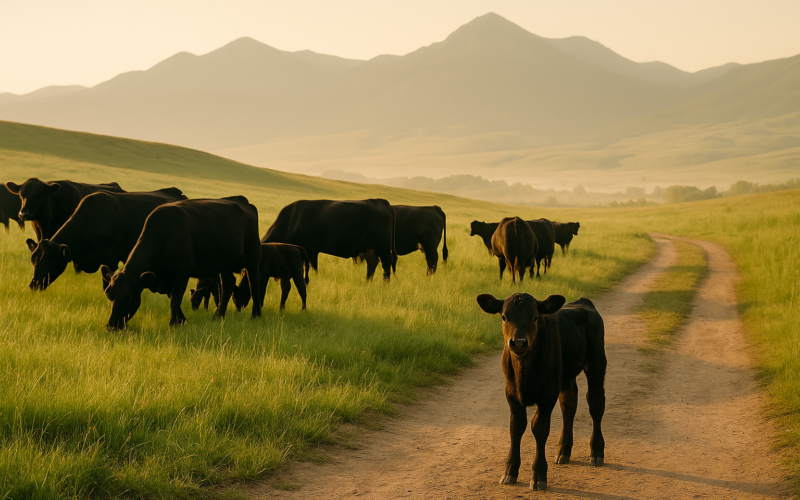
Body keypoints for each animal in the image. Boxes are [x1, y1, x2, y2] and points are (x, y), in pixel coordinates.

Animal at [100, 196, 262, 329]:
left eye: (130, 296)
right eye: (109, 294)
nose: (112, 325)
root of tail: (244, 202)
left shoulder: (182, 272)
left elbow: (175, 298)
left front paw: (173, 323)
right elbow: (173, 298)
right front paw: (182, 320)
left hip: (252, 256)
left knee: (254, 284)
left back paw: (256, 316)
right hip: (224, 263)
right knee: (228, 283)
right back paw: (218, 315)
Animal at [263, 199, 396, 281]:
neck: (292, 221)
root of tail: (382, 202)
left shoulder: (311, 250)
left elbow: (313, 266)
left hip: (382, 248)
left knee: (385, 263)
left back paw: (385, 282)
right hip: (370, 249)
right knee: (373, 262)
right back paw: (368, 281)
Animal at [476, 292, 607, 491]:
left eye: (535, 317)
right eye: (504, 317)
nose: (519, 343)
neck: (524, 372)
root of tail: (583, 302)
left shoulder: (547, 394)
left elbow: (539, 428)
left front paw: (538, 475)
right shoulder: (511, 393)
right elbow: (516, 427)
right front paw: (510, 471)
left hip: (597, 364)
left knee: (596, 403)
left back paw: (597, 451)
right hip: (565, 377)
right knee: (569, 405)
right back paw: (563, 451)